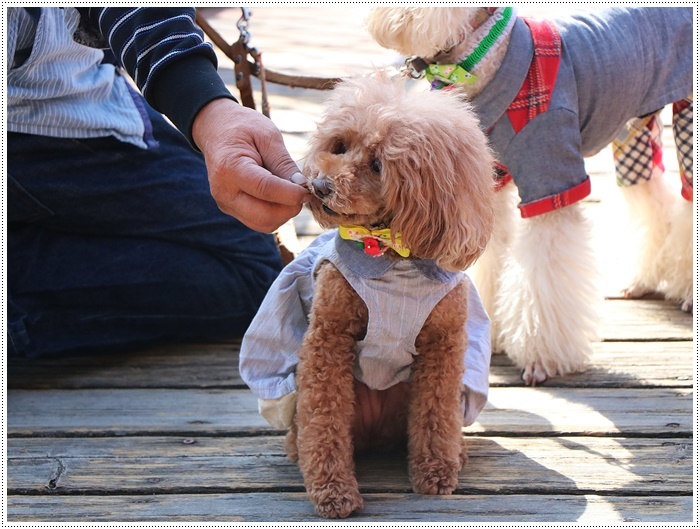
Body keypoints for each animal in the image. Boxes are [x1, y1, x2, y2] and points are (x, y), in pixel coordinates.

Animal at [370, 6, 692, 382]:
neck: (485, 55)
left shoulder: (551, 178)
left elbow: (544, 274)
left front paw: (541, 358)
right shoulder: (490, 183)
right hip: (634, 126)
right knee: (649, 192)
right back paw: (643, 279)